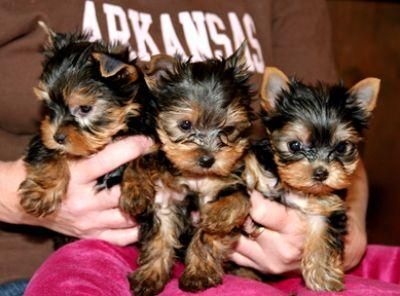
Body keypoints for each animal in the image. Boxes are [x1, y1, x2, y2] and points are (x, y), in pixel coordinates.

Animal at [19, 22, 155, 217]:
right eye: (48, 105)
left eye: (85, 108)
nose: (57, 137)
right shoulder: (42, 136)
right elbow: (47, 153)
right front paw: (42, 193)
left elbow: (145, 157)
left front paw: (137, 190)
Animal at [119, 44, 255, 296]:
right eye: (185, 125)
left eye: (228, 129)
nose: (208, 159)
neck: (193, 175)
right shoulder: (164, 196)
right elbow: (159, 237)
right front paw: (150, 275)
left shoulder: (227, 184)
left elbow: (216, 225)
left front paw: (199, 271)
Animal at [244, 66, 382, 290]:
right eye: (294, 145)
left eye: (341, 147)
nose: (321, 173)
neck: (297, 189)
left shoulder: (328, 207)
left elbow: (323, 240)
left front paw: (323, 277)